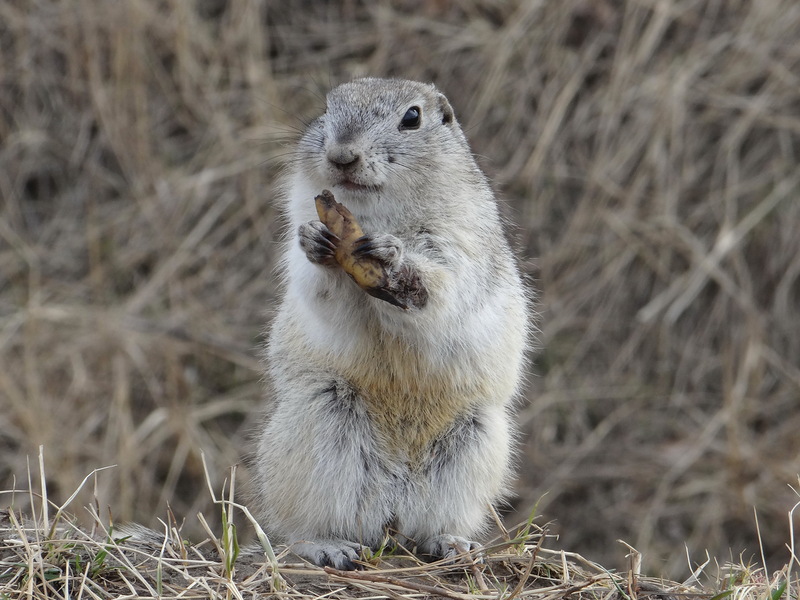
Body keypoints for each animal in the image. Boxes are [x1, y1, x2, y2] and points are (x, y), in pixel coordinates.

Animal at [255, 77, 532, 568]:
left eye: (412, 117)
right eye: (327, 107)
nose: (342, 156)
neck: (374, 215)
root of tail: (392, 517)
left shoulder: (456, 246)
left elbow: (440, 287)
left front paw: (392, 260)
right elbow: (321, 290)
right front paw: (317, 240)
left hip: (475, 444)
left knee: (431, 526)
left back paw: (452, 545)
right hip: (317, 428)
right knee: (299, 530)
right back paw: (330, 546)